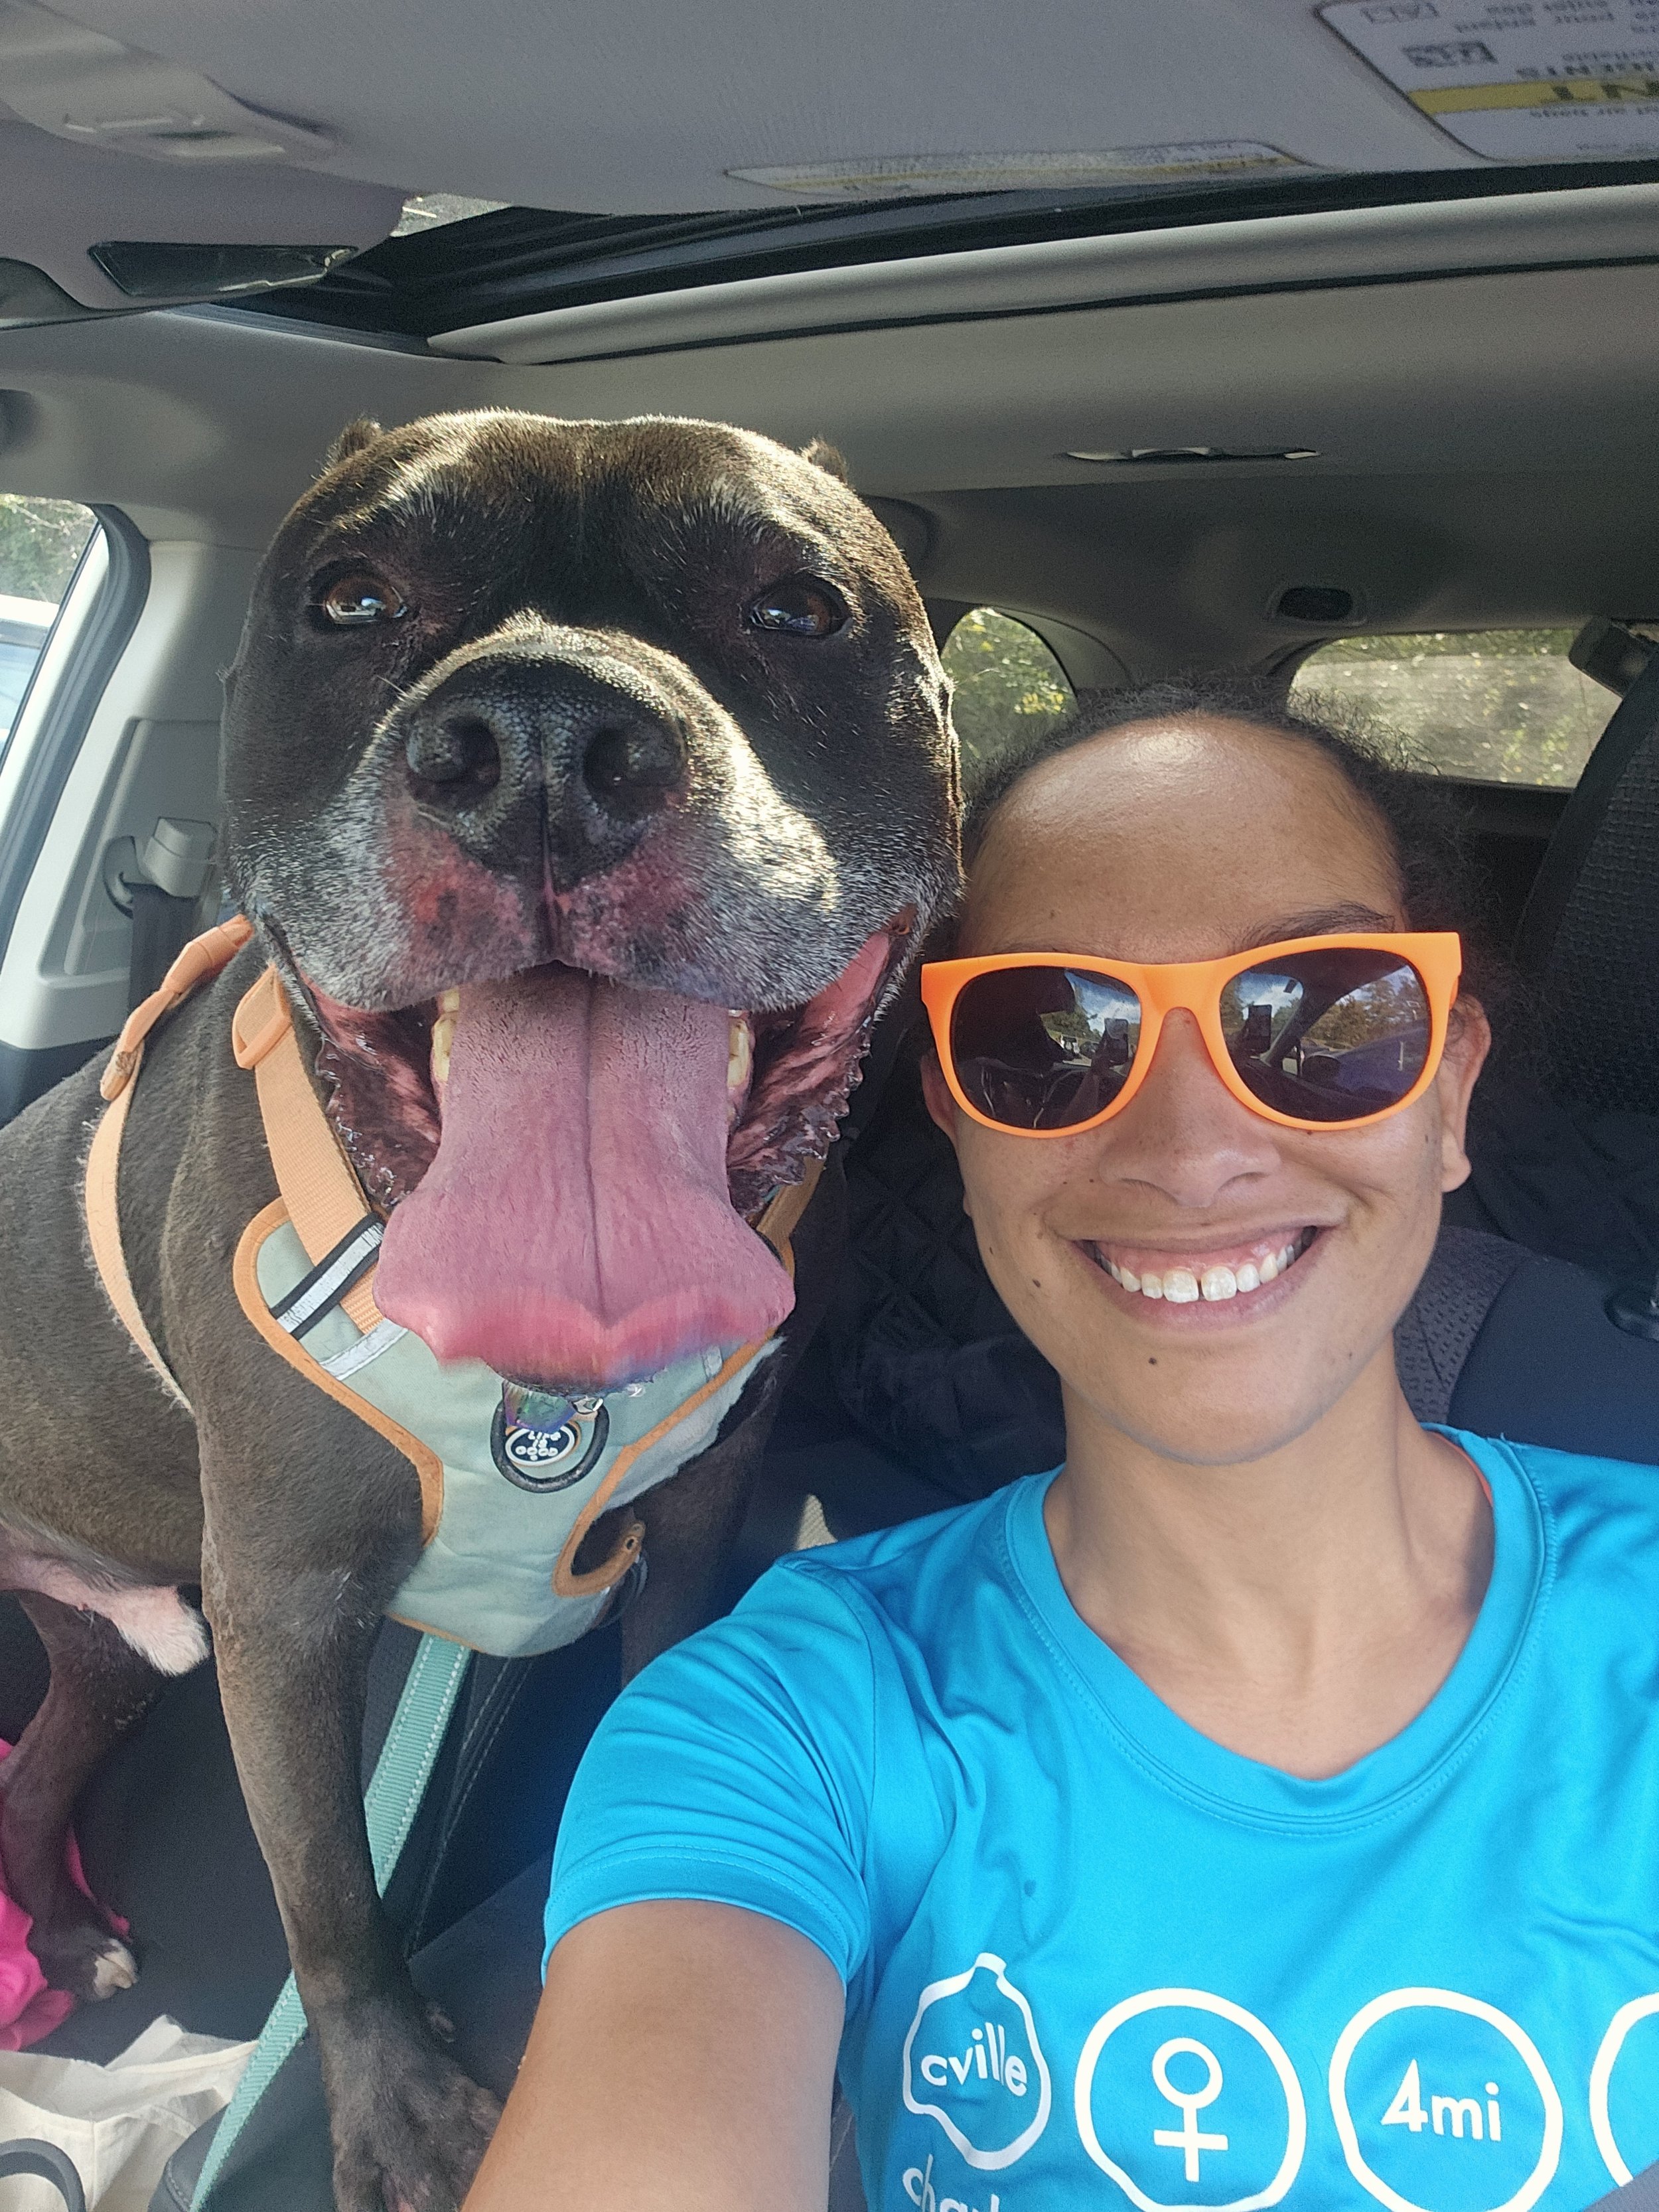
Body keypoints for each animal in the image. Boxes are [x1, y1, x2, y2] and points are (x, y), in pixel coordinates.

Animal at [0, 410, 958, 2211]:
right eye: (354, 596)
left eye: (797, 607)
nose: (538, 746)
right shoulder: (286, 1606)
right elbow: (326, 1890)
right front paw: (398, 2109)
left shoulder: (707, 1499)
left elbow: (662, 1665)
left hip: (106, 1644)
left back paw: (70, 1934)